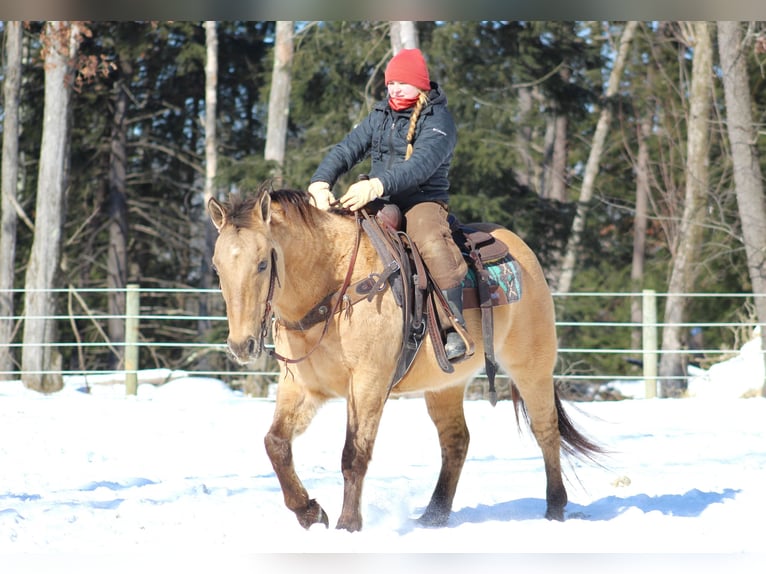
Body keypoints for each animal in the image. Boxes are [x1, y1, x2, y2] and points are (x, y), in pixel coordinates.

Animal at [207, 187, 604, 532]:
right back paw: (433, 516)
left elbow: (354, 454)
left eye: (262, 264)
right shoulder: (303, 387)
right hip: (445, 385)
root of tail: (521, 251)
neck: (333, 287)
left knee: (546, 431)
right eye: (217, 266)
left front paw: (347, 525)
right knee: (456, 441)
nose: (241, 345)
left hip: (531, 367)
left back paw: (554, 508)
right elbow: (275, 444)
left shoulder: (368, 383)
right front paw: (310, 512)